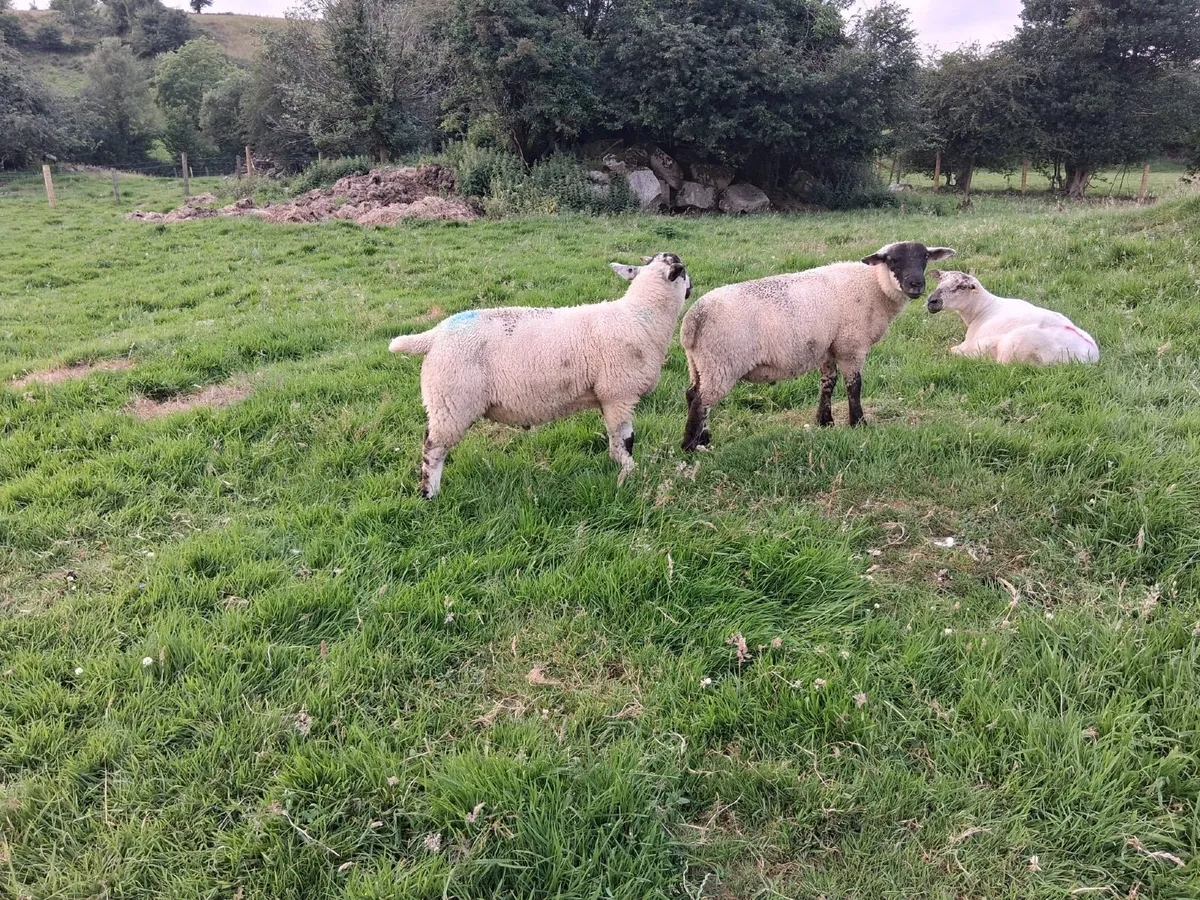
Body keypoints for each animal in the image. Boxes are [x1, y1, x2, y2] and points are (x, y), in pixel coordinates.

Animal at [388, 253, 692, 498]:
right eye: (684, 272)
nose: (692, 287)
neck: (640, 317)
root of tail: (434, 335)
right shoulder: (619, 393)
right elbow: (625, 440)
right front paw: (628, 473)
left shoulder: (609, 398)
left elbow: (614, 439)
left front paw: (616, 466)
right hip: (452, 401)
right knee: (433, 449)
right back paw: (430, 494)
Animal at [680, 241, 956, 451]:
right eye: (892, 260)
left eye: (925, 258)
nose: (916, 285)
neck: (874, 286)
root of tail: (692, 321)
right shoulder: (851, 345)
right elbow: (854, 385)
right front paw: (858, 423)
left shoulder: (829, 348)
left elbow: (827, 384)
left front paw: (825, 422)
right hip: (722, 362)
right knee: (701, 402)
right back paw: (690, 446)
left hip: (699, 363)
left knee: (692, 394)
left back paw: (703, 439)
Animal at [926, 270, 1100, 365]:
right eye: (939, 281)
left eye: (961, 286)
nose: (931, 301)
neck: (982, 308)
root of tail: (1090, 357)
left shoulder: (970, 344)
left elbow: (953, 349)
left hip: (1014, 346)